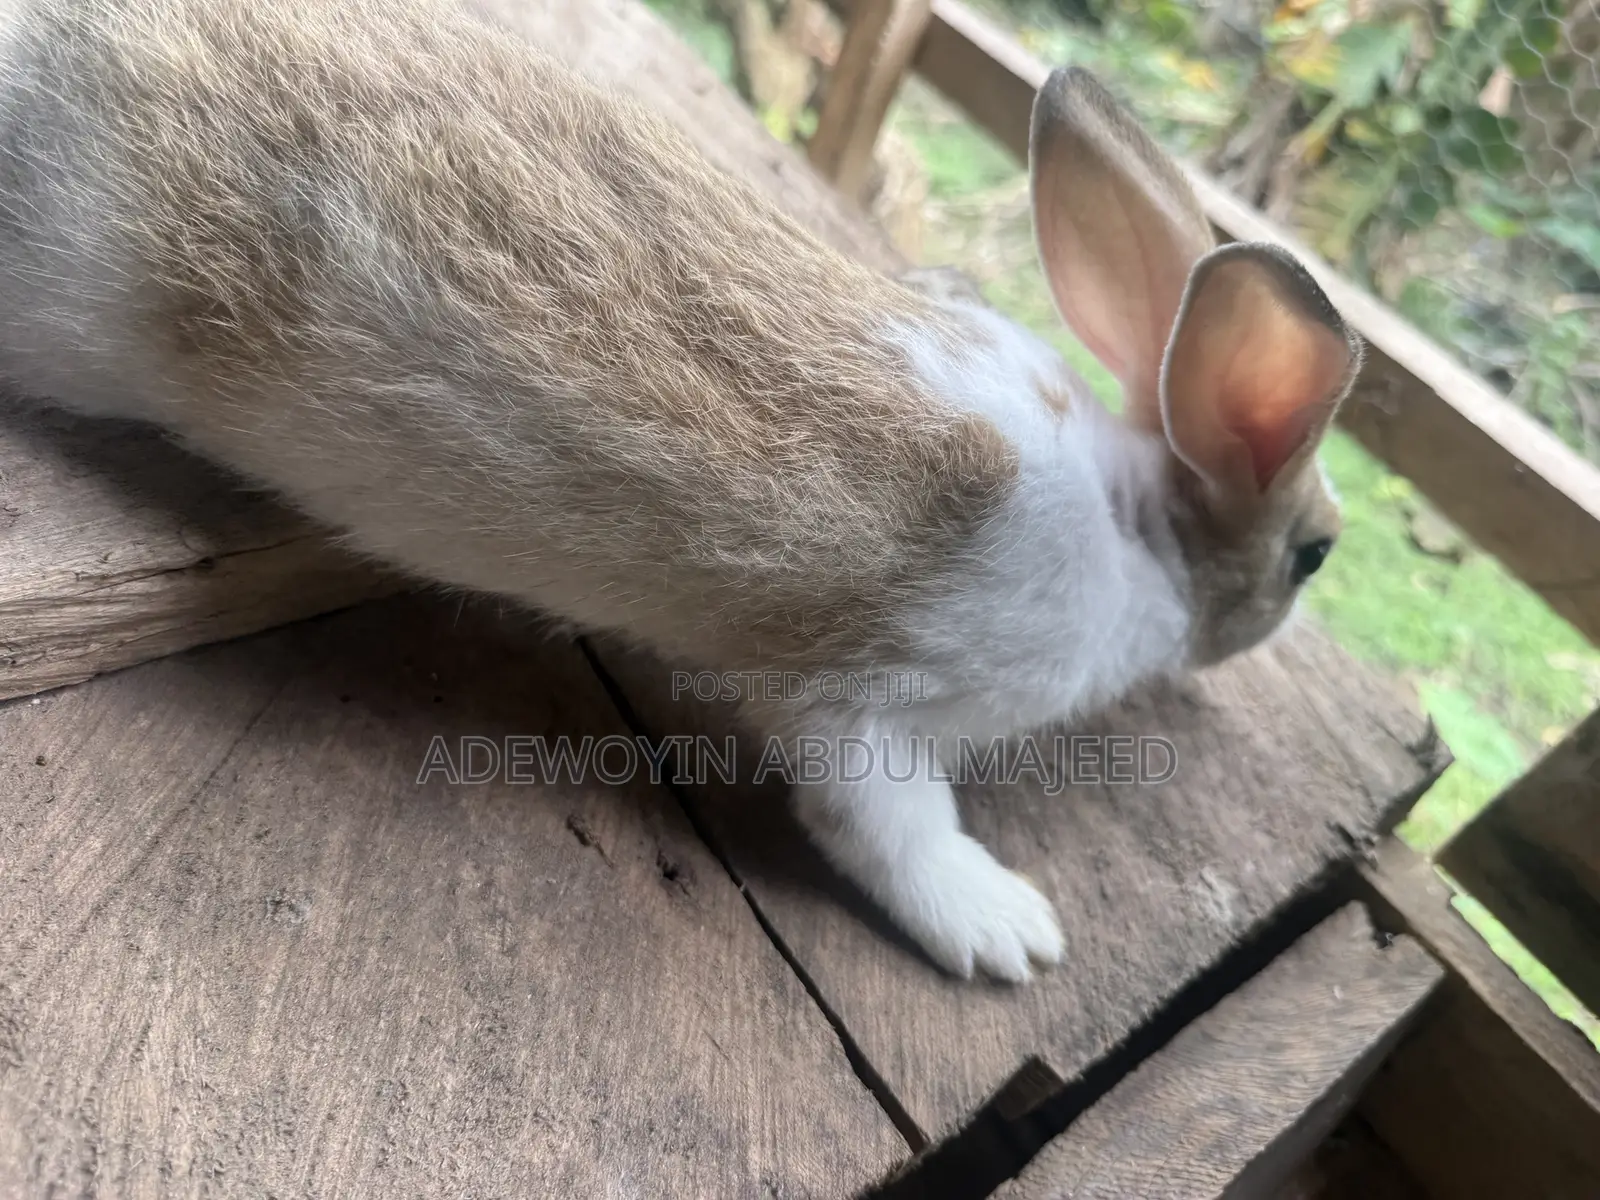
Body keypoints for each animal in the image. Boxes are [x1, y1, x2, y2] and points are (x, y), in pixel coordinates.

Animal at [0, 0, 1361, 983]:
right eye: (1317, 557)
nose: (1298, 582)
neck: (1136, 524)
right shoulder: (873, 699)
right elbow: (886, 818)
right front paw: (1006, 931)